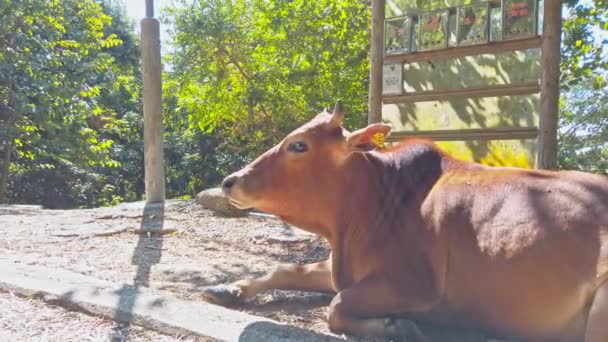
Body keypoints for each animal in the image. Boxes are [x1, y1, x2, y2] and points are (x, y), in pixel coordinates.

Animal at [201, 101, 608, 342]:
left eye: (298, 145)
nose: (229, 181)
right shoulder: (342, 266)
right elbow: (284, 269)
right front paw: (228, 287)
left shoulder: (414, 287)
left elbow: (336, 307)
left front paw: (396, 326)